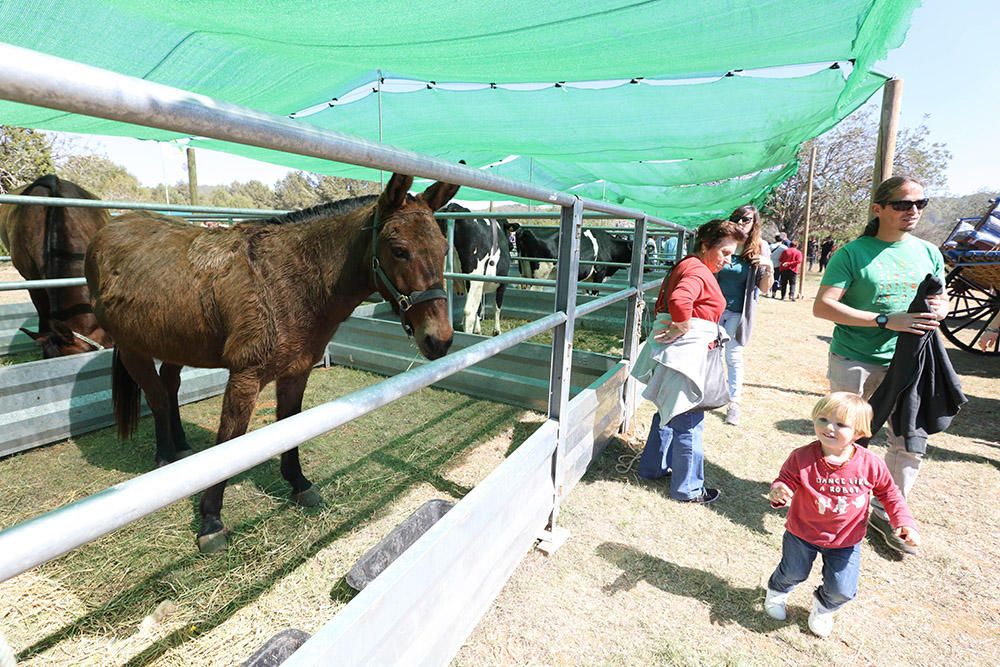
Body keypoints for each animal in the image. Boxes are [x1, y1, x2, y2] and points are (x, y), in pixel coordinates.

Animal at [87, 172, 460, 552]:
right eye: (399, 251)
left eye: (444, 250)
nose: (439, 340)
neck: (286, 280)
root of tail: (109, 229)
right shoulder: (245, 378)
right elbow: (229, 442)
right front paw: (210, 519)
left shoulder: (296, 371)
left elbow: (289, 424)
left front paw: (299, 484)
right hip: (133, 349)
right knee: (159, 398)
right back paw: (165, 455)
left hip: (176, 344)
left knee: (170, 386)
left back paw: (182, 449)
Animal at [440, 204, 512, 336]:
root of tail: (454, 207)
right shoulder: (502, 283)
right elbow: (497, 306)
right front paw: (497, 330)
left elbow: (479, 309)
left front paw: (478, 329)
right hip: (474, 277)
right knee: (468, 311)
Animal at [504, 224, 636, 290]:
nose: (647, 268)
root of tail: (524, 230)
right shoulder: (599, 272)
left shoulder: (588, 279)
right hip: (540, 273)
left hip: (524, 272)